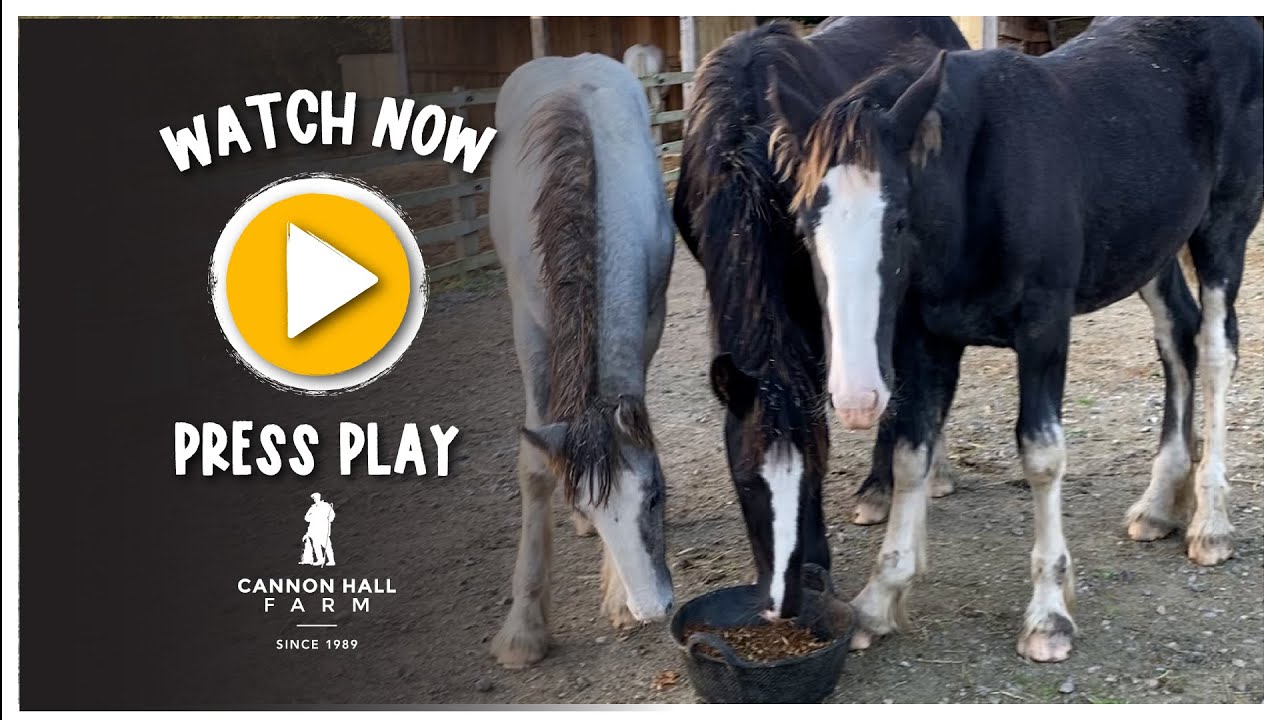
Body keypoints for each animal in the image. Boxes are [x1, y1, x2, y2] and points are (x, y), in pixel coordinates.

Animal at [487, 53, 677, 669]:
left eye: (656, 496)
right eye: (597, 512)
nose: (653, 608)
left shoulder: (650, 319)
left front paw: (618, 598)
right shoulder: (530, 334)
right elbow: (533, 467)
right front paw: (523, 628)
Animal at [767, 16, 1262, 662]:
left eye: (898, 220)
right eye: (804, 224)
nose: (855, 399)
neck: (974, 193)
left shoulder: (1044, 328)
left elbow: (1042, 454)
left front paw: (1048, 616)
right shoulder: (927, 340)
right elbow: (909, 457)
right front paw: (878, 599)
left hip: (1223, 229)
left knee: (1215, 348)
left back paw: (1211, 523)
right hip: (1150, 249)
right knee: (1175, 336)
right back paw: (1158, 506)